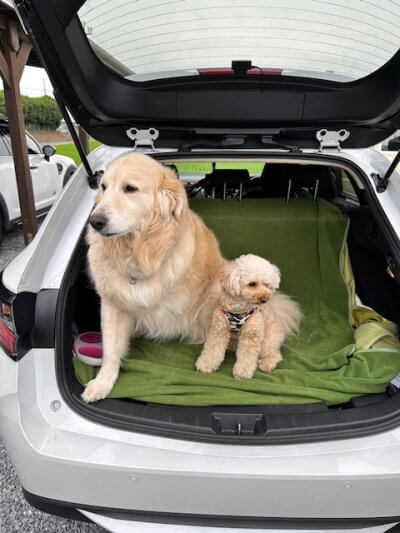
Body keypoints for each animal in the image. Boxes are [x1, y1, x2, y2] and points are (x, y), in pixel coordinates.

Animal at [83, 152, 223, 402]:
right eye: (103, 187)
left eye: (130, 188)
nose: (95, 222)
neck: (137, 252)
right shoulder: (112, 305)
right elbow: (110, 349)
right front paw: (102, 383)